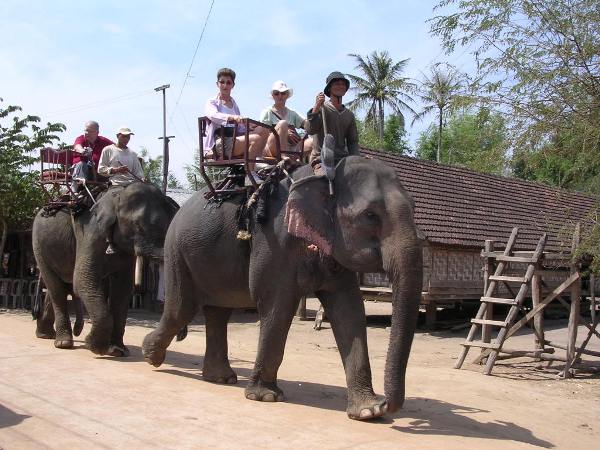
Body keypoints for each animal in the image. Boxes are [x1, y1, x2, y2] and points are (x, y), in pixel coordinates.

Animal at [33, 182, 178, 356]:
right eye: (137, 226)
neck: (118, 196)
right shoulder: (90, 232)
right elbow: (83, 280)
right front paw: (94, 346)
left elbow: (123, 289)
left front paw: (117, 350)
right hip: (38, 245)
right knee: (56, 288)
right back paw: (63, 343)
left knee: (58, 286)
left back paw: (45, 335)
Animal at [141, 156, 424, 420]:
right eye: (370, 215)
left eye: (413, 208)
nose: (388, 404)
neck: (324, 175)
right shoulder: (273, 241)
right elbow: (276, 304)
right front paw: (265, 397)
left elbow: (349, 309)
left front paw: (368, 412)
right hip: (177, 250)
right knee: (182, 308)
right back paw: (151, 356)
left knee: (217, 311)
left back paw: (220, 378)